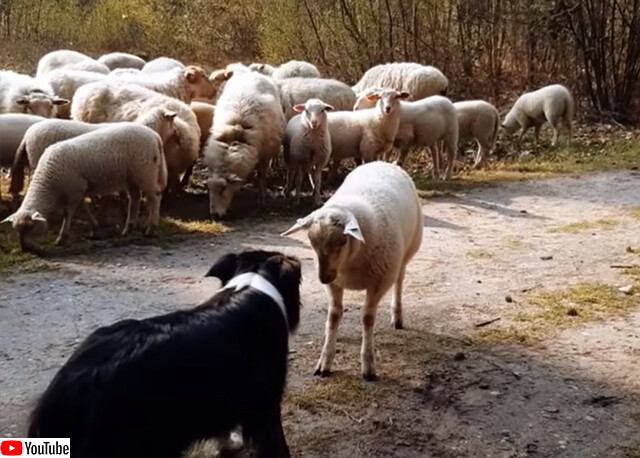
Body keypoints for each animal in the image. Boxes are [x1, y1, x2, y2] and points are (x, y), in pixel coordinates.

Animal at [1, 123, 168, 252]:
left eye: (30, 228)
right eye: (17, 230)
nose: (25, 249)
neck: (48, 181)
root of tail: (155, 136)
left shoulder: (76, 190)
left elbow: (68, 213)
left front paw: (62, 238)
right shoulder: (78, 190)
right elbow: (84, 209)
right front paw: (95, 229)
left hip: (145, 172)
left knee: (154, 197)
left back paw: (151, 229)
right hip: (131, 176)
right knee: (134, 198)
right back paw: (128, 229)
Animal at [204, 71, 286, 218]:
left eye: (223, 189)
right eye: (209, 189)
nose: (215, 215)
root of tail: (252, 73)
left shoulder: (264, 155)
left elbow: (261, 176)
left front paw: (262, 199)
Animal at [282, 160, 422, 380]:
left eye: (342, 241)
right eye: (311, 242)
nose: (323, 277)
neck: (349, 263)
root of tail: (383, 162)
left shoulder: (379, 281)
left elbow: (367, 317)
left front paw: (368, 365)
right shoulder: (335, 283)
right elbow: (333, 316)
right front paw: (325, 361)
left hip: (406, 252)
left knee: (399, 281)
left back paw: (397, 315)